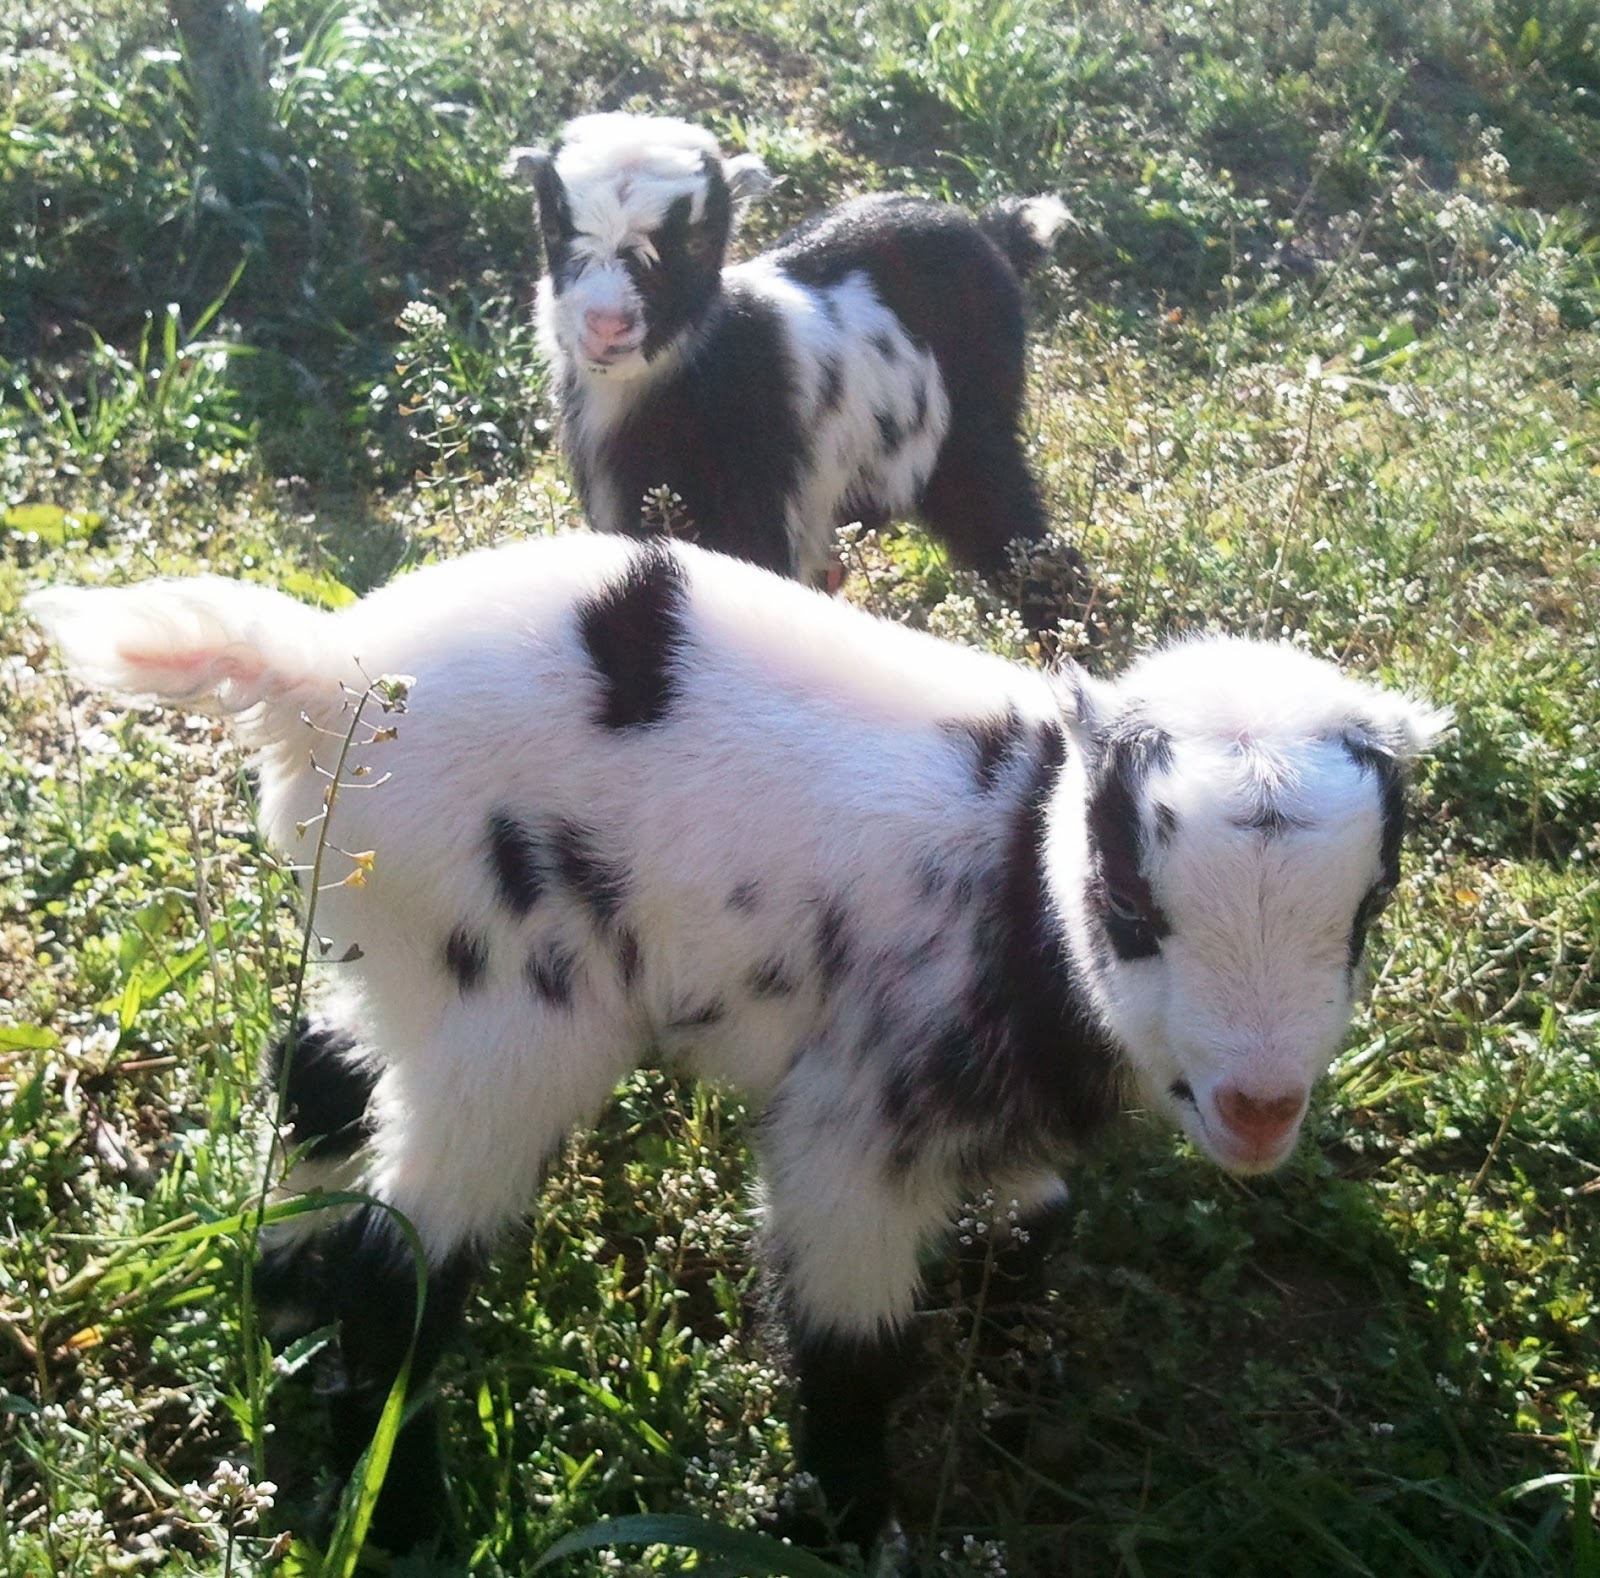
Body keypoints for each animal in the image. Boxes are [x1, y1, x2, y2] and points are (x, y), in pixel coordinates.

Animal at [27, 534, 1444, 1555]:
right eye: (1132, 904)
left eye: (1369, 907)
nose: (1259, 1109)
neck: (1011, 864)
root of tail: (325, 676)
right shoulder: (854, 1127)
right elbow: (853, 1350)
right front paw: (845, 1527)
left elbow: (1034, 1225)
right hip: (515, 1008)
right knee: (404, 1268)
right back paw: (404, 1516)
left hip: (393, 932)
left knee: (320, 1073)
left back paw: (280, 1289)